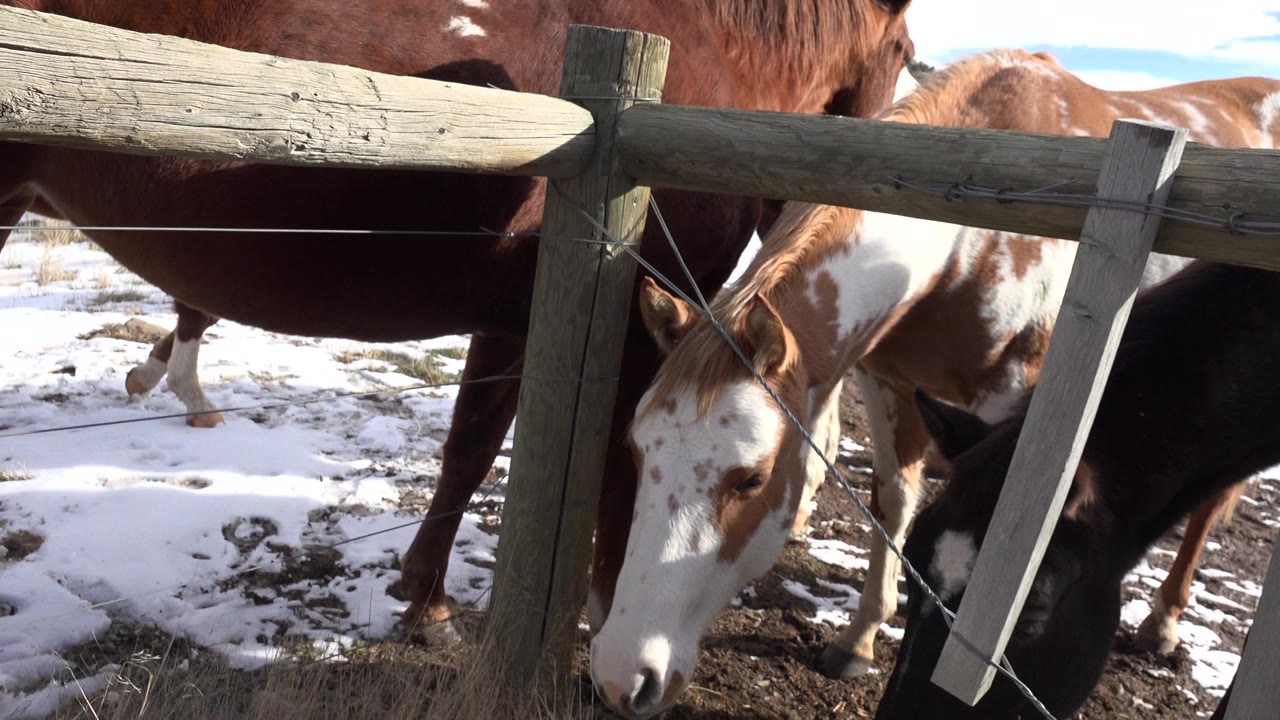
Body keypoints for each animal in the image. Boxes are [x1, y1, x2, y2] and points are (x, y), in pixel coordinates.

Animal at [0, 0, 915, 635]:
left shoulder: (515, 323)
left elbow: (469, 451)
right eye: (905, 54)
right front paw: (603, 611)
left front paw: (423, 595)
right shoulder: (632, 339)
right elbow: (616, 479)